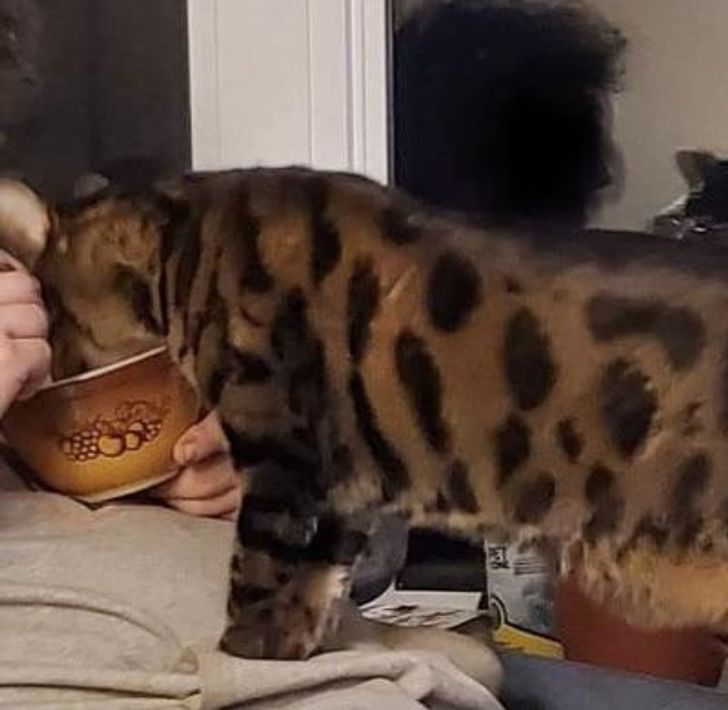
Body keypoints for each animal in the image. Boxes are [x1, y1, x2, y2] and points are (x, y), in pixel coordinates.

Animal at [0, 165, 726, 663]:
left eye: (54, 319)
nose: (49, 374)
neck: (184, 250)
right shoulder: (344, 479)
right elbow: (320, 571)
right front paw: (288, 642)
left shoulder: (279, 457)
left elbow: (256, 568)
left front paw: (241, 647)